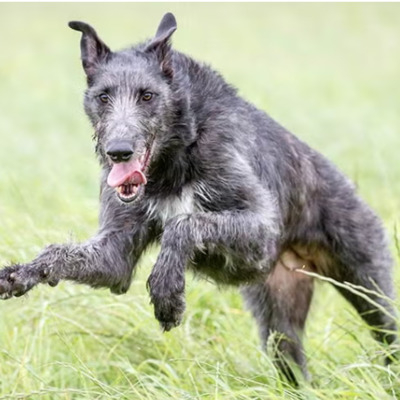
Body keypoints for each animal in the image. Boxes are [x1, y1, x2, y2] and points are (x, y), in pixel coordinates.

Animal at [0, 10, 396, 382]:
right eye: (103, 96)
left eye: (147, 95)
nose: (118, 151)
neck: (175, 157)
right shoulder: (115, 252)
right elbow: (67, 255)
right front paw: (21, 273)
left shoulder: (261, 232)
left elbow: (184, 223)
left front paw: (167, 294)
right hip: (278, 320)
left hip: (368, 281)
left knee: (387, 331)